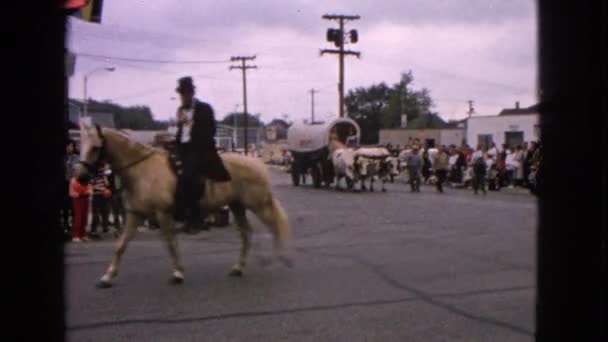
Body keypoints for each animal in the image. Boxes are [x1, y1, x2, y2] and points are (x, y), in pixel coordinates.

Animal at [73, 121, 292, 288]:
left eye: (95, 147)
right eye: (81, 145)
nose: (80, 177)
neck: (142, 171)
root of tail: (257, 163)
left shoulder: (162, 214)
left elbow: (170, 243)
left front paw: (178, 273)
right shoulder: (135, 214)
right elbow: (121, 245)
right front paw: (107, 277)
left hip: (259, 205)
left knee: (274, 227)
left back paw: (279, 259)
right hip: (237, 206)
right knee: (247, 233)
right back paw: (239, 268)